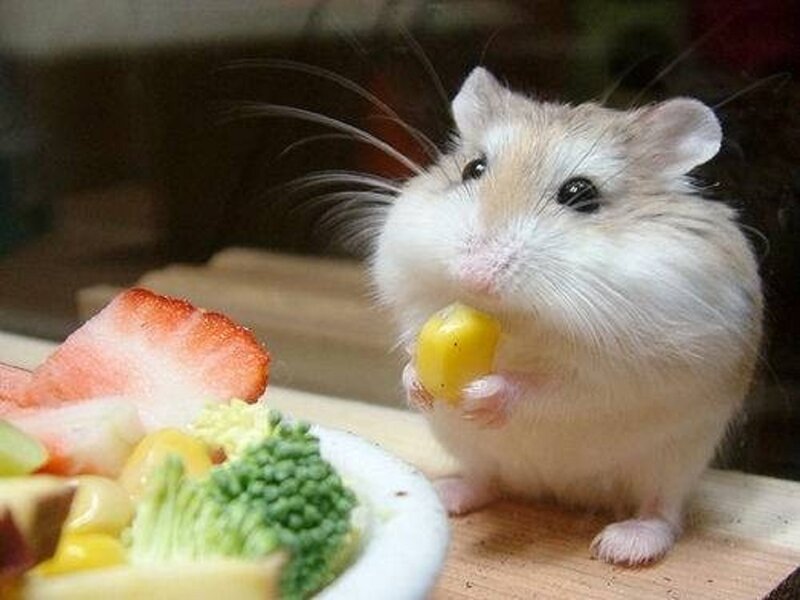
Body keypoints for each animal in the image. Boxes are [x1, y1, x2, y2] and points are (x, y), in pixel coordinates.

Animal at [371, 67, 763, 565]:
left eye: (581, 194)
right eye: (472, 169)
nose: (474, 275)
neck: (516, 320)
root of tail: (557, 491)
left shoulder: (623, 371)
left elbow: (555, 387)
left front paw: (485, 395)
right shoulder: (415, 303)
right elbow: (411, 345)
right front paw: (417, 384)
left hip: (675, 459)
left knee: (664, 511)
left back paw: (624, 546)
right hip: (469, 447)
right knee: (486, 480)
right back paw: (446, 493)